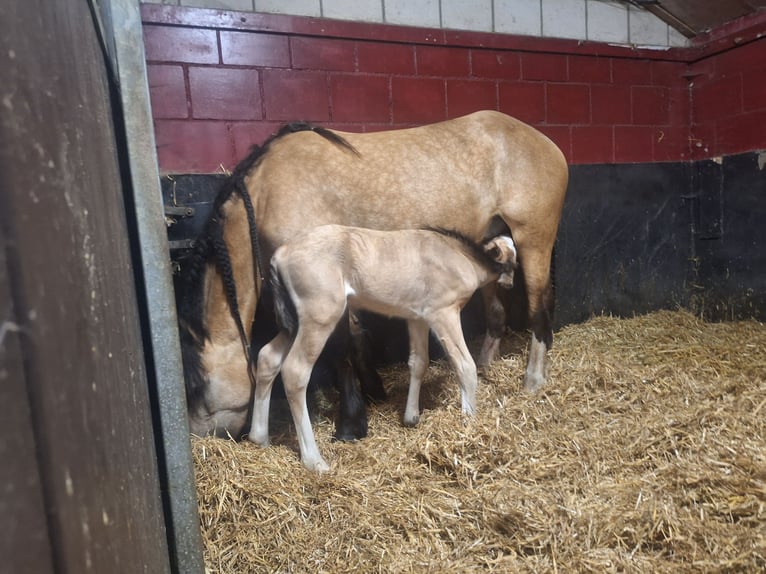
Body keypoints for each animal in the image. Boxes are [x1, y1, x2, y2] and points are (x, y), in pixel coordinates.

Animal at [177, 111, 568, 440]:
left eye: (196, 388)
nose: (200, 436)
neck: (267, 191)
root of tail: (550, 146)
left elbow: (341, 348)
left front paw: (351, 423)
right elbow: (356, 338)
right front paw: (374, 392)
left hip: (533, 241)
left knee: (539, 309)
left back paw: (534, 379)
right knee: (497, 316)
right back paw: (487, 367)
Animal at [249, 225, 520, 472]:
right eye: (512, 262)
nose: (510, 285)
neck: (460, 257)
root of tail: (281, 253)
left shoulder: (417, 317)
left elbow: (418, 362)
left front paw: (411, 417)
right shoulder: (443, 312)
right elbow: (465, 365)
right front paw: (470, 422)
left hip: (294, 324)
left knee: (267, 357)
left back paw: (259, 437)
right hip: (320, 316)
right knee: (295, 371)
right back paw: (314, 460)